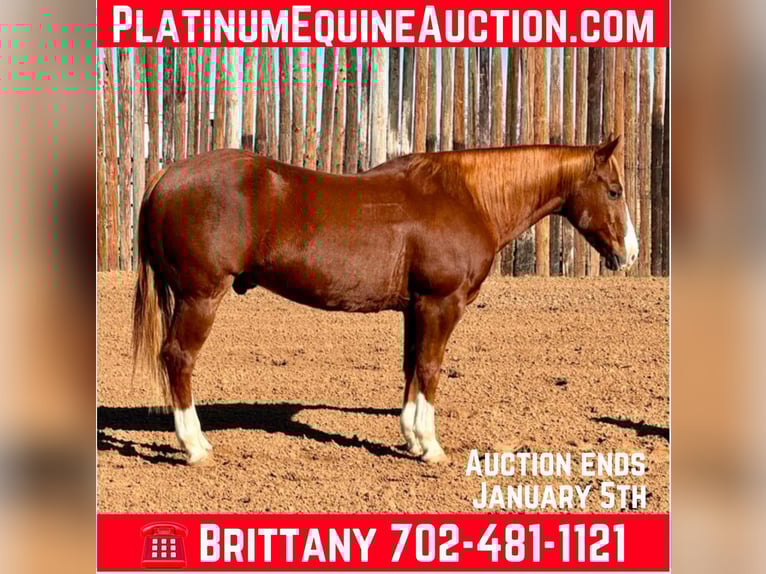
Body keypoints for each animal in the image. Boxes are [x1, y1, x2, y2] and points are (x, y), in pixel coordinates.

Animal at [132, 136, 637, 465]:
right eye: (614, 191)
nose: (629, 254)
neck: (469, 198)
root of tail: (168, 175)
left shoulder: (416, 307)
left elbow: (411, 367)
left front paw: (411, 437)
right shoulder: (441, 303)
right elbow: (430, 368)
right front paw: (430, 447)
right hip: (201, 296)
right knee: (178, 358)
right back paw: (195, 447)